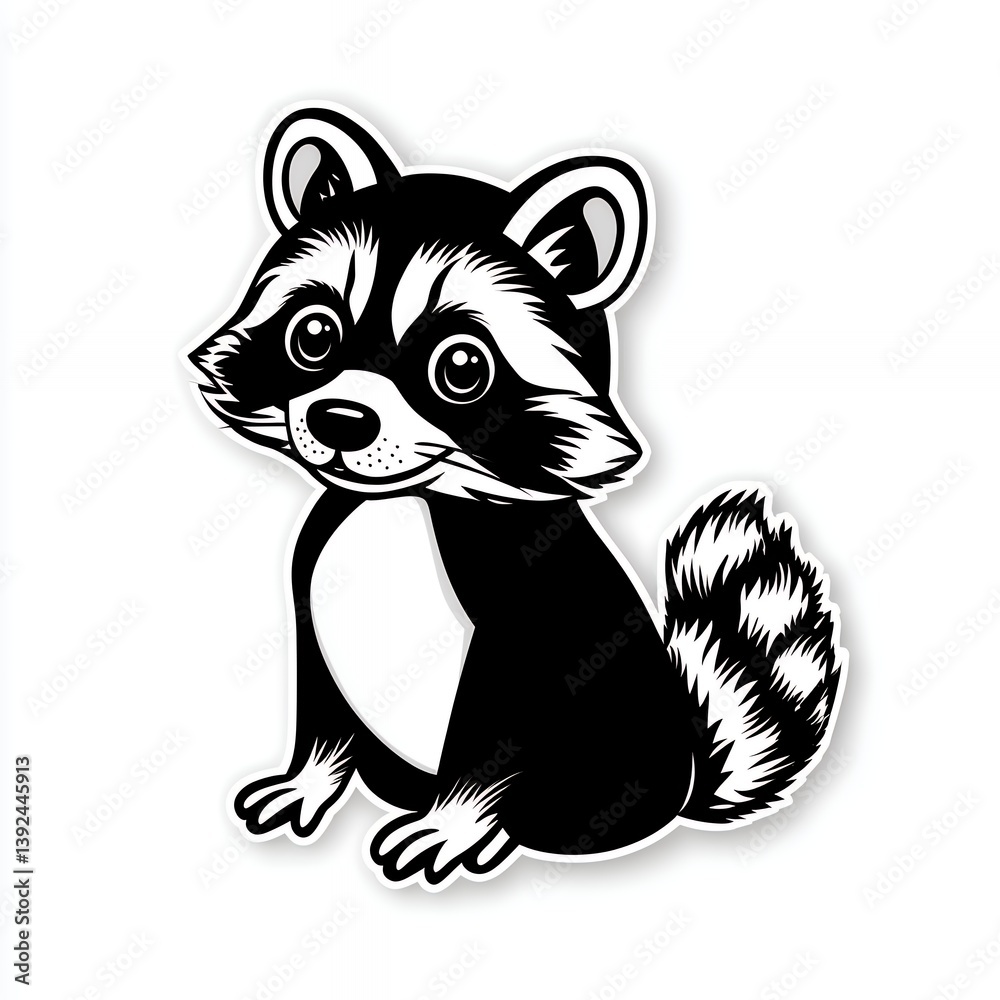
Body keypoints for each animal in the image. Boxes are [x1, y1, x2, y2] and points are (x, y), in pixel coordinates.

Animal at [186, 104, 846, 891]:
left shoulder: (527, 621)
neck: (406, 500)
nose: (340, 421)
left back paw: (499, 830)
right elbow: (322, 709)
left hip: (611, 757)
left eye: (461, 368)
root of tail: (684, 780)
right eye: (313, 335)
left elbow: (495, 737)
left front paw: (455, 821)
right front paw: (310, 778)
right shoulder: (310, 595)